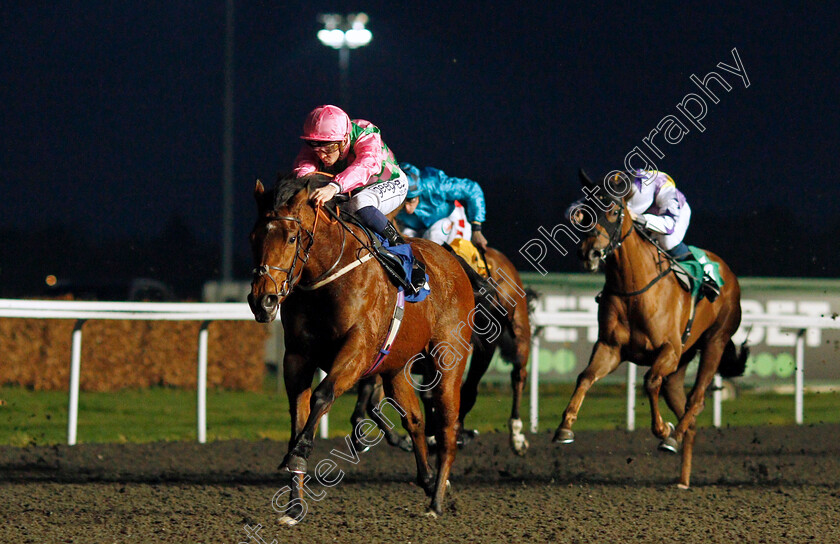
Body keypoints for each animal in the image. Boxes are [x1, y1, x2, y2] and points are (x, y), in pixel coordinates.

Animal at [246, 172, 476, 520]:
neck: (327, 275)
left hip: (448, 358)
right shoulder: (297, 356)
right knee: (415, 420)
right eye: (253, 237)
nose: (264, 300)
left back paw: (437, 499)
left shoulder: (358, 349)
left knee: (448, 426)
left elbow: (323, 394)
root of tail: (453, 260)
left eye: (291, 238)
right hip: (396, 367)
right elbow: (298, 414)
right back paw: (428, 481)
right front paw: (294, 505)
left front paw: (301, 450)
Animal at [556, 170, 748, 488]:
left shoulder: (668, 349)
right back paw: (682, 478)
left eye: (612, 211)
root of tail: (728, 273)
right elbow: (585, 377)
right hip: (683, 361)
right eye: (585, 212)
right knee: (687, 411)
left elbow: (649, 381)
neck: (633, 288)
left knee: (696, 400)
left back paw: (673, 437)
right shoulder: (610, 348)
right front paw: (564, 427)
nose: (589, 253)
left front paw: (663, 430)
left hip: (714, 342)